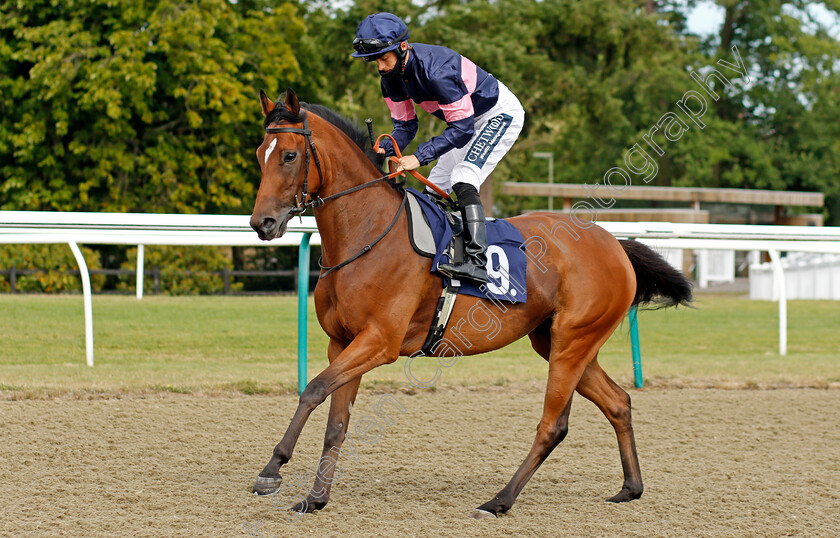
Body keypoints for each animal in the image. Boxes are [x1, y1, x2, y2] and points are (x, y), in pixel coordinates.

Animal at [248, 90, 688, 516]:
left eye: (289, 155)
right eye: (259, 153)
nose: (261, 223)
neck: (368, 234)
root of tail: (614, 244)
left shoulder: (379, 342)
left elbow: (313, 390)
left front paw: (272, 470)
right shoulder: (341, 342)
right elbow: (336, 422)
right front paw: (315, 498)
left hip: (573, 341)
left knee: (553, 425)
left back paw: (499, 501)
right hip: (558, 342)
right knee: (618, 403)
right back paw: (630, 487)